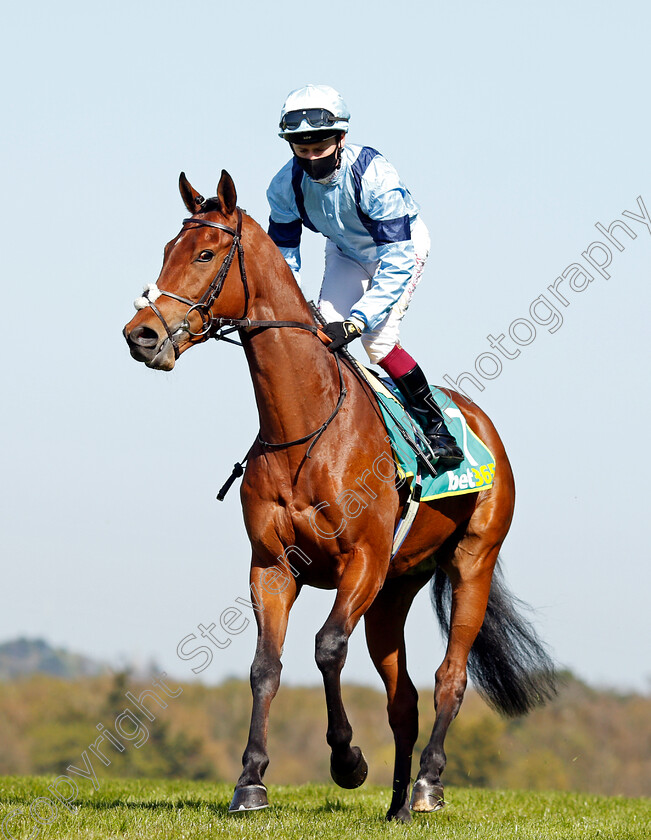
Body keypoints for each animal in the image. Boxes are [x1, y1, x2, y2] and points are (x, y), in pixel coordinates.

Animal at [125, 169, 556, 820]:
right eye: (167, 251)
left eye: (204, 254)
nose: (141, 334)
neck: (304, 428)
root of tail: (481, 424)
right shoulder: (273, 565)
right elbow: (265, 667)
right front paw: (251, 779)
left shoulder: (363, 560)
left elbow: (328, 647)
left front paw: (347, 760)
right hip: (393, 592)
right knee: (403, 698)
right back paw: (397, 805)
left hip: (470, 562)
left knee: (450, 677)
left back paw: (428, 784)